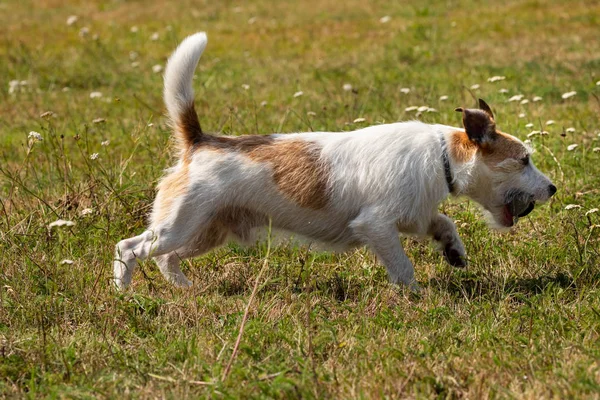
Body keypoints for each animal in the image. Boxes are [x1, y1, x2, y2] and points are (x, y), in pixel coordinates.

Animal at [111, 32, 552, 290]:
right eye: (524, 160)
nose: (553, 187)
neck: (441, 155)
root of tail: (200, 142)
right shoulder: (377, 225)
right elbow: (403, 266)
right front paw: (414, 295)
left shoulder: (412, 215)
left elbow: (444, 223)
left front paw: (454, 251)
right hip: (179, 226)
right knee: (130, 248)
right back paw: (123, 291)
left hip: (207, 232)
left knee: (166, 260)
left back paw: (185, 291)